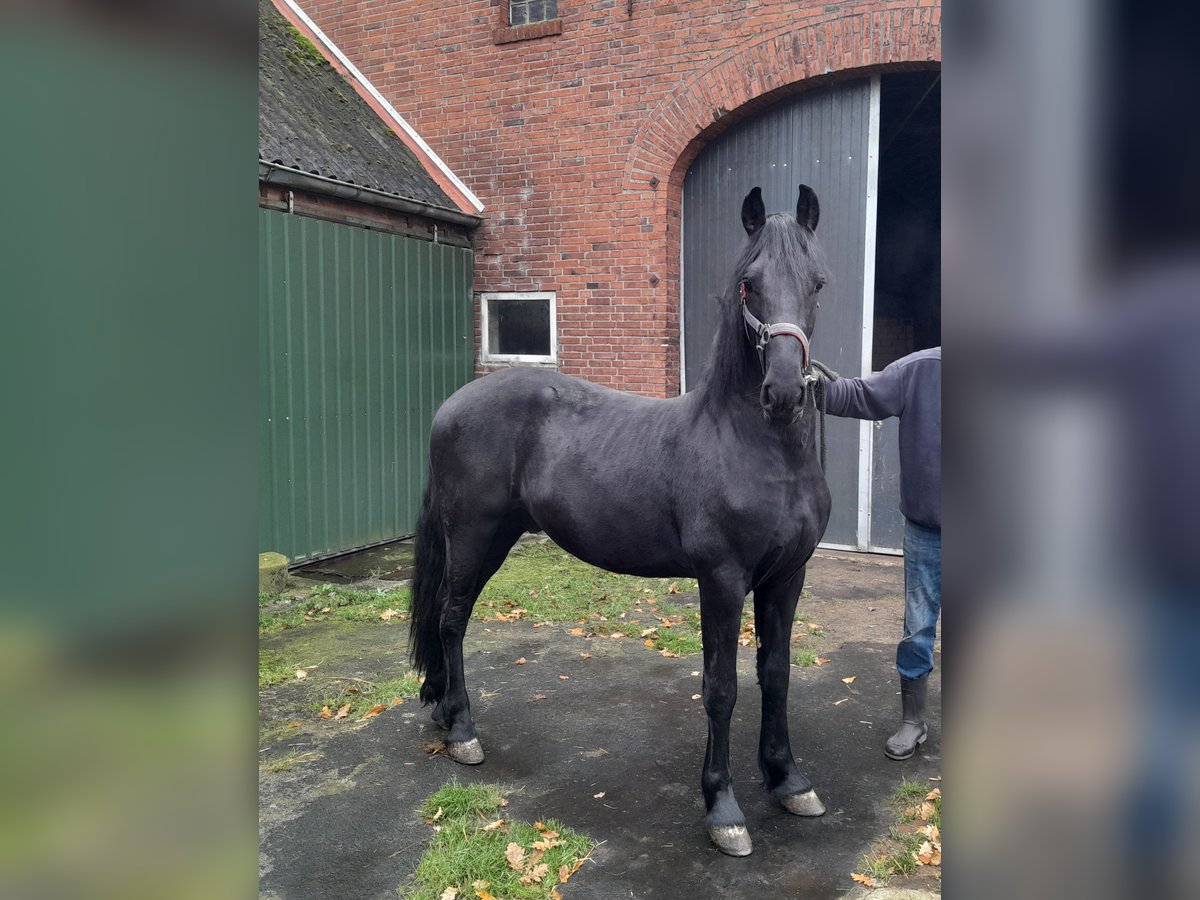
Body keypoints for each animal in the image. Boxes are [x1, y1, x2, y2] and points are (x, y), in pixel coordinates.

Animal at [408, 184, 830, 859]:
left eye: (817, 283)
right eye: (749, 284)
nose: (784, 392)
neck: (756, 449)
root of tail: (451, 406)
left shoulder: (787, 577)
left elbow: (776, 674)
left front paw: (789, 780)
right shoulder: (722, 581)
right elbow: (721, 689)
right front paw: (724, 810)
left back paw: (445, 714)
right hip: (473, 537)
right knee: (451, 620)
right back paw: (464, 731)